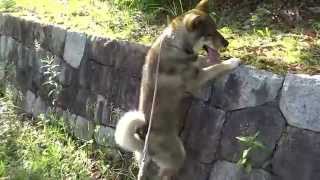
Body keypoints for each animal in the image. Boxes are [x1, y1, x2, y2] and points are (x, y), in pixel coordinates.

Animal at [115, 0, 240, 178]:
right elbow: (217, 67)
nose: (227, 43)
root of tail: (145, 145)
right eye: (209, 34)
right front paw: (232, 62)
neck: (176, 44)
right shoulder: (196, 79)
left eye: (216, 29)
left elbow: (203, 61)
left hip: (143, 161)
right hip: (178, 155)